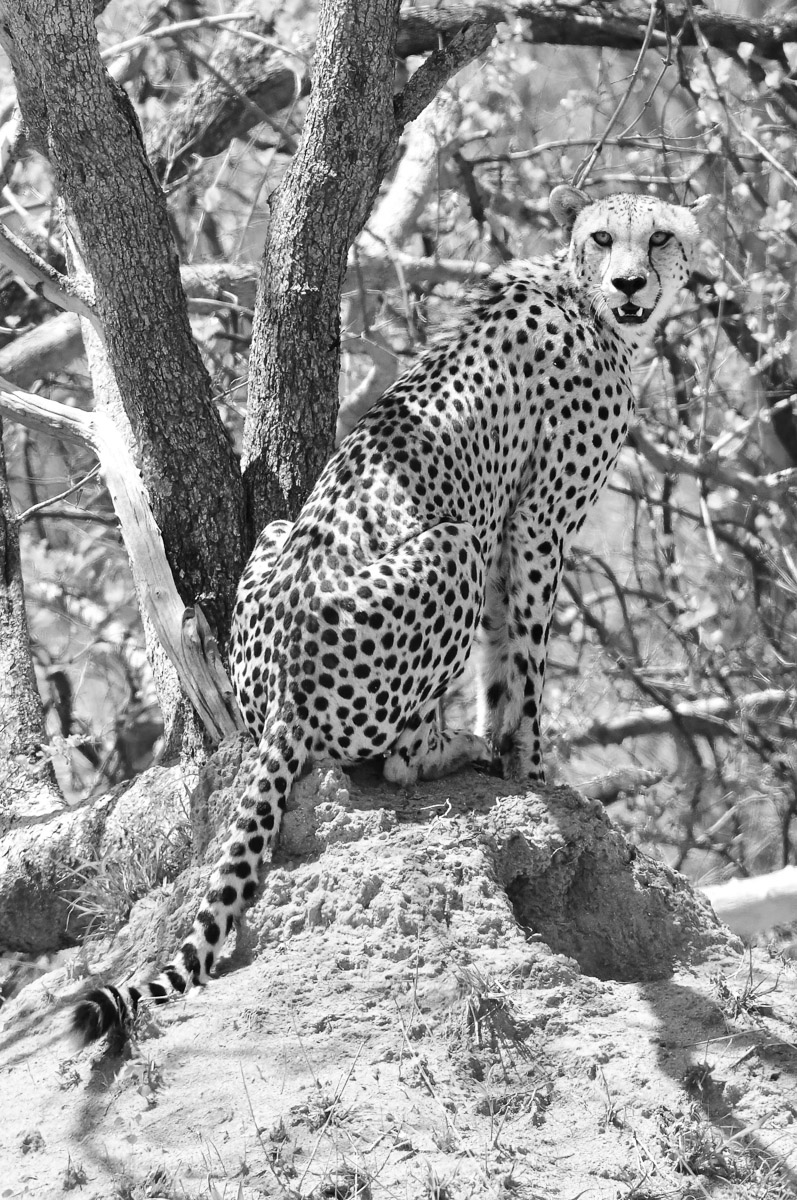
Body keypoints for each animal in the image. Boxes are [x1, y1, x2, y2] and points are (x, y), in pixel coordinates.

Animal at [73, 184, 712, 1044]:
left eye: (661, 237)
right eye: (604, 238)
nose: (630, 283)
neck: (582, 299)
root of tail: (281, 696)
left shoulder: (513, 530)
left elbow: (501, 661)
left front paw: (511, 750)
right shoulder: (532, 525)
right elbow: (525, 664)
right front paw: (531, 768)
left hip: (287, 534)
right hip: (453, 541)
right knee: (396, 758)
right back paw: (453, 750)